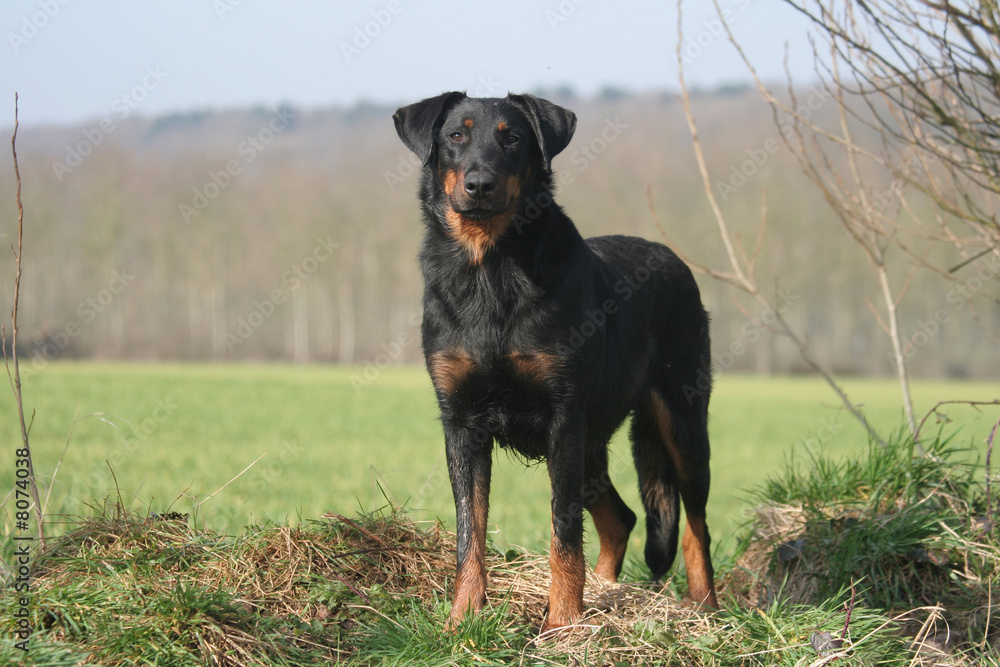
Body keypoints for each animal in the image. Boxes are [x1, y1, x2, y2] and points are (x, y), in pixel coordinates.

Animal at [392, 92, 720, 632]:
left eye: (512, 139)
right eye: (456, 136)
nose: (479, 183)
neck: (490, 270)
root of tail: (672, 258)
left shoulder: (563, 420)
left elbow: (563, 531)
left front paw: (563, 622)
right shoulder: (461, 422)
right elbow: (469, 530)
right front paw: (464, 617)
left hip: (680, 423)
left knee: (695, 526)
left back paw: (704, 609)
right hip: (594, 444)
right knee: (622, 519)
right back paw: (609, 590)